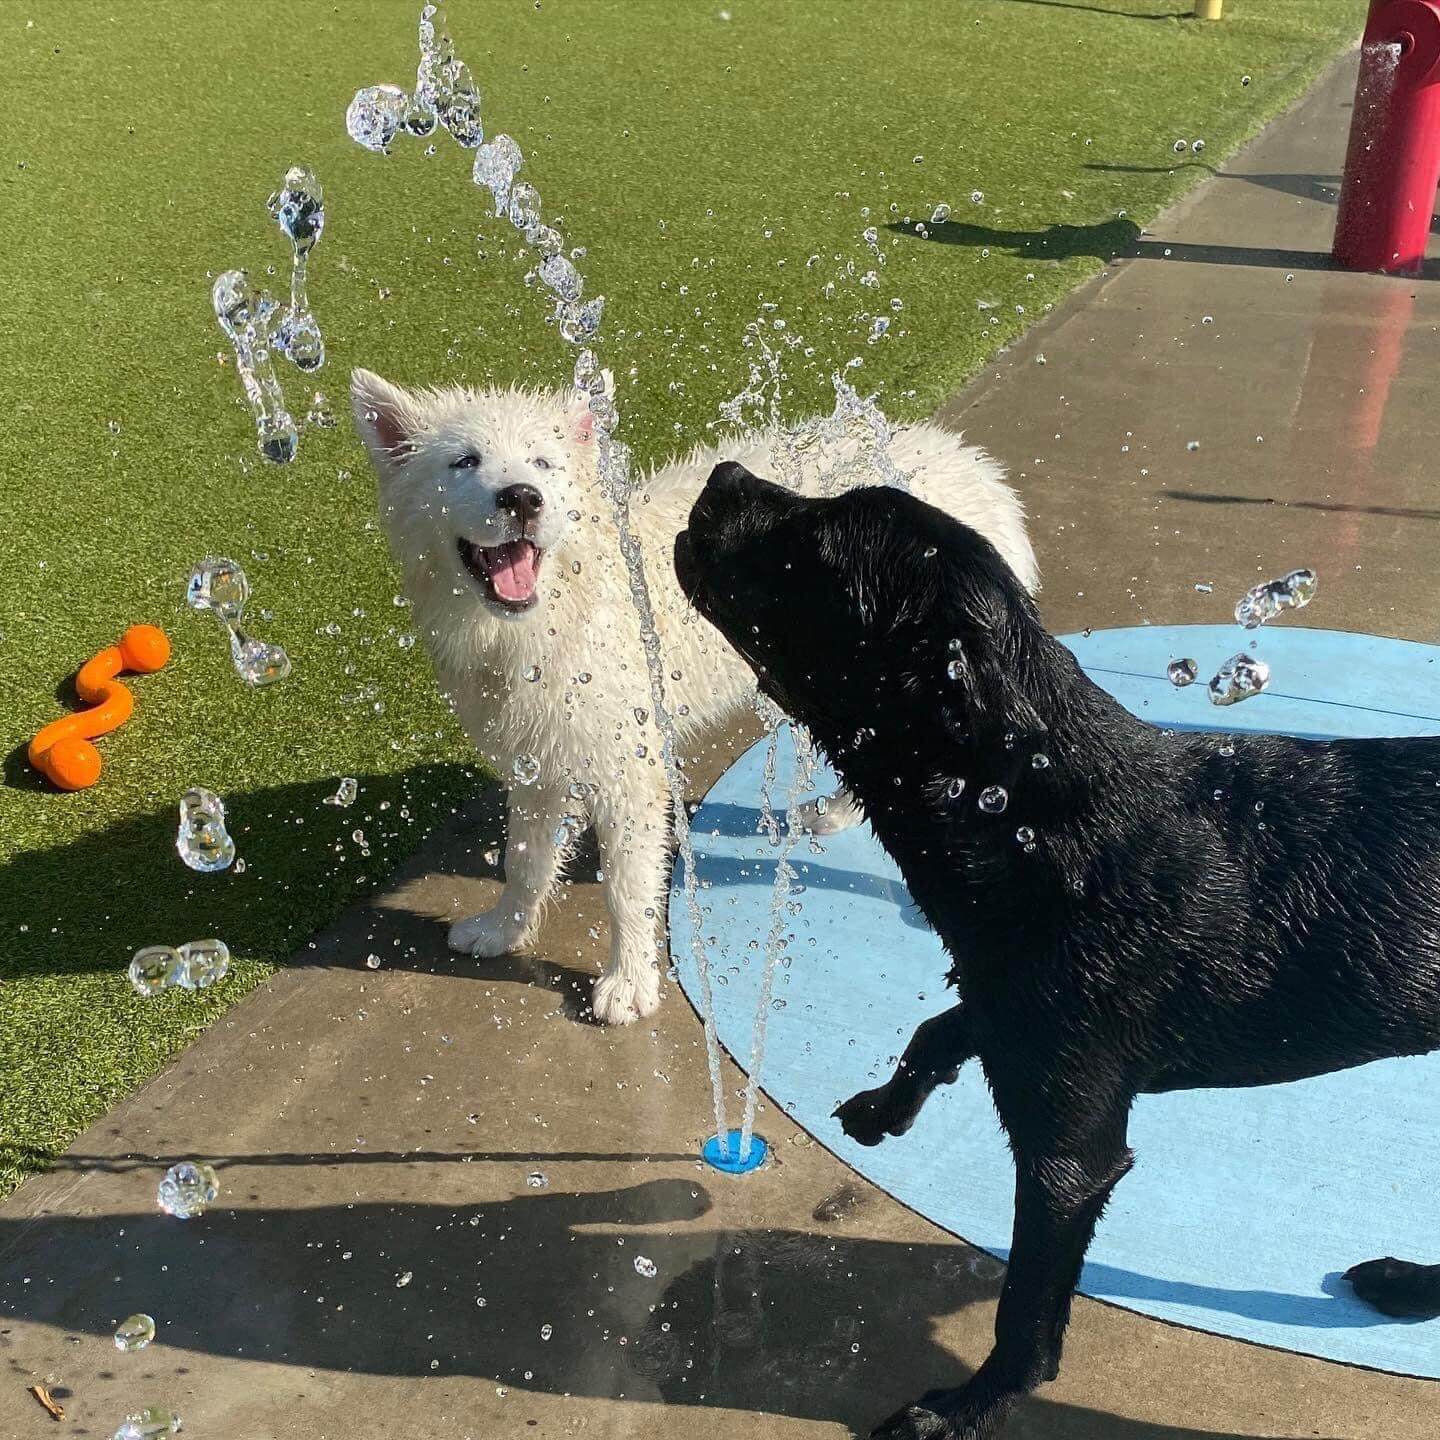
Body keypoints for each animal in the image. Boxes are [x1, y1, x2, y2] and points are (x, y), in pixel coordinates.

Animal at [354, 371, 1042, 1025]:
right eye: (464, 461)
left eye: (544, 463)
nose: (522, 497)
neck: (555, 607)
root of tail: (975, 464)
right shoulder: (535, 754)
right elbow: (525, 857)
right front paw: (503, 930)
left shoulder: (628, 766)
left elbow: (627, 883)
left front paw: (629, 984)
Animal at [679, 463, 1440, 1440]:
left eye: (814, 542)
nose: (723, 472)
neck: (1030, 816)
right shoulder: (1013, 1002)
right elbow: (943, 1027)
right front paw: (888, 1106)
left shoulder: (1069, 1145)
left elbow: (1027, 1309)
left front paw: (966, 1408)